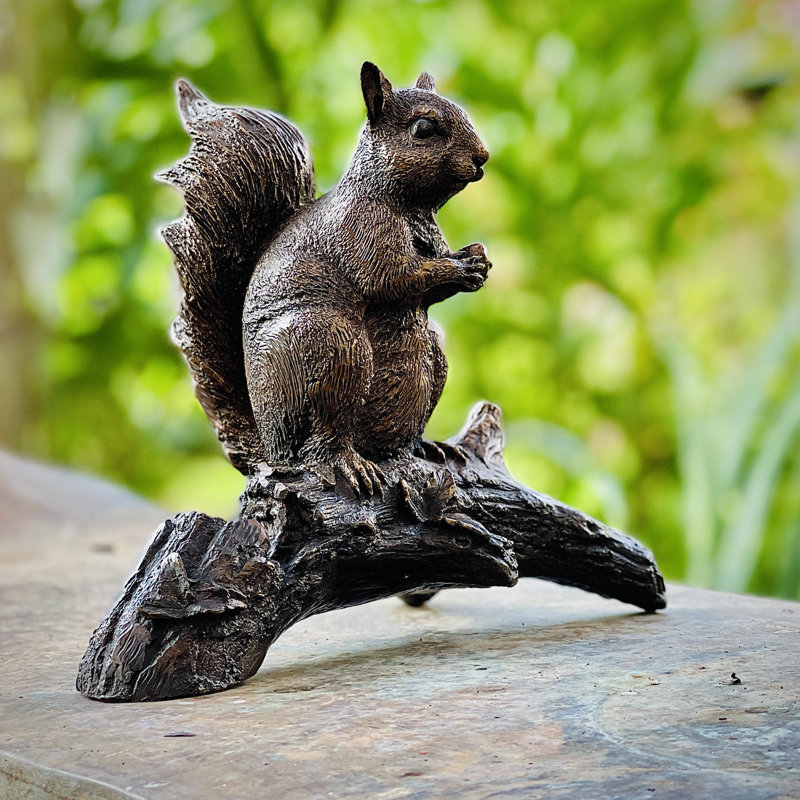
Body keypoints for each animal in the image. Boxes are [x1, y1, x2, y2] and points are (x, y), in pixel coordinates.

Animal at [159, 62, 490, 495]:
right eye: (423, 128)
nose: (483, 157)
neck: (409, 206)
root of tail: (271, 447)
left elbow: (429, 293)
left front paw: (477, 259)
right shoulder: (360, 232)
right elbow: (390, 279)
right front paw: (461, 267)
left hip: (427, 358)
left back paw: (427, 448)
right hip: (331, 348)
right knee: (322, 443)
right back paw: (349, 463)